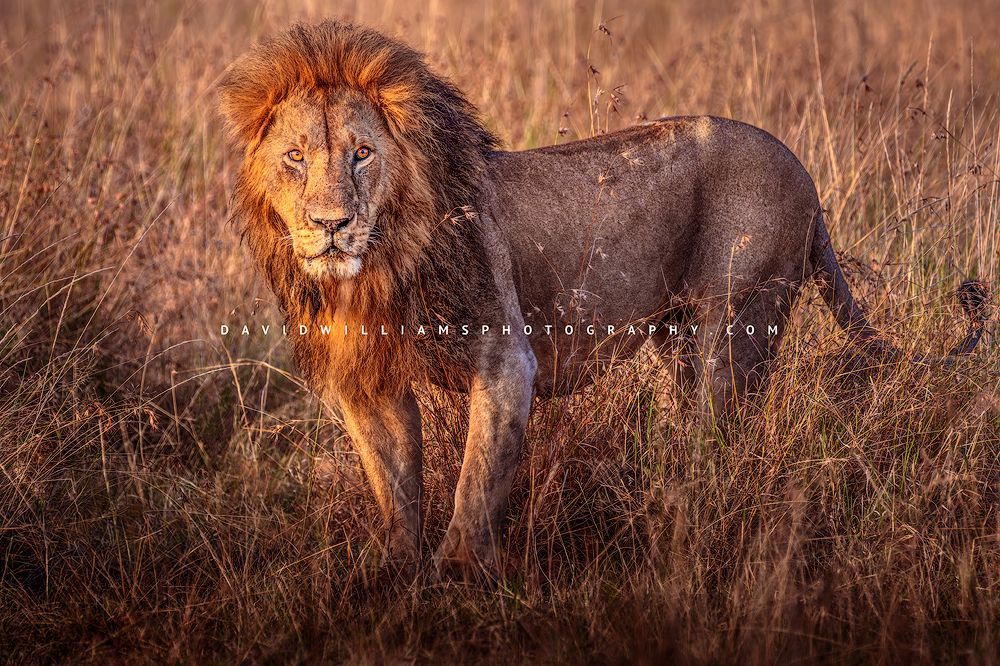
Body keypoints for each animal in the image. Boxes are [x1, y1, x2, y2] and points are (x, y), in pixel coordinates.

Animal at [219, 21, 989, 575]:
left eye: (362, 154)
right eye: (294, 158)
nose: (331, 224)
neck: (379, 267)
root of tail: (800, 167)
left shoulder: (504, 357)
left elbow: (474, 479)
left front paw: (460, 575)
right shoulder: (368, 383)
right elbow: (395, 484)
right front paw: (394, 574)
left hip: (737, 325)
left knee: (720, 441)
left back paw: (686, 518)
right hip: (681, 340)